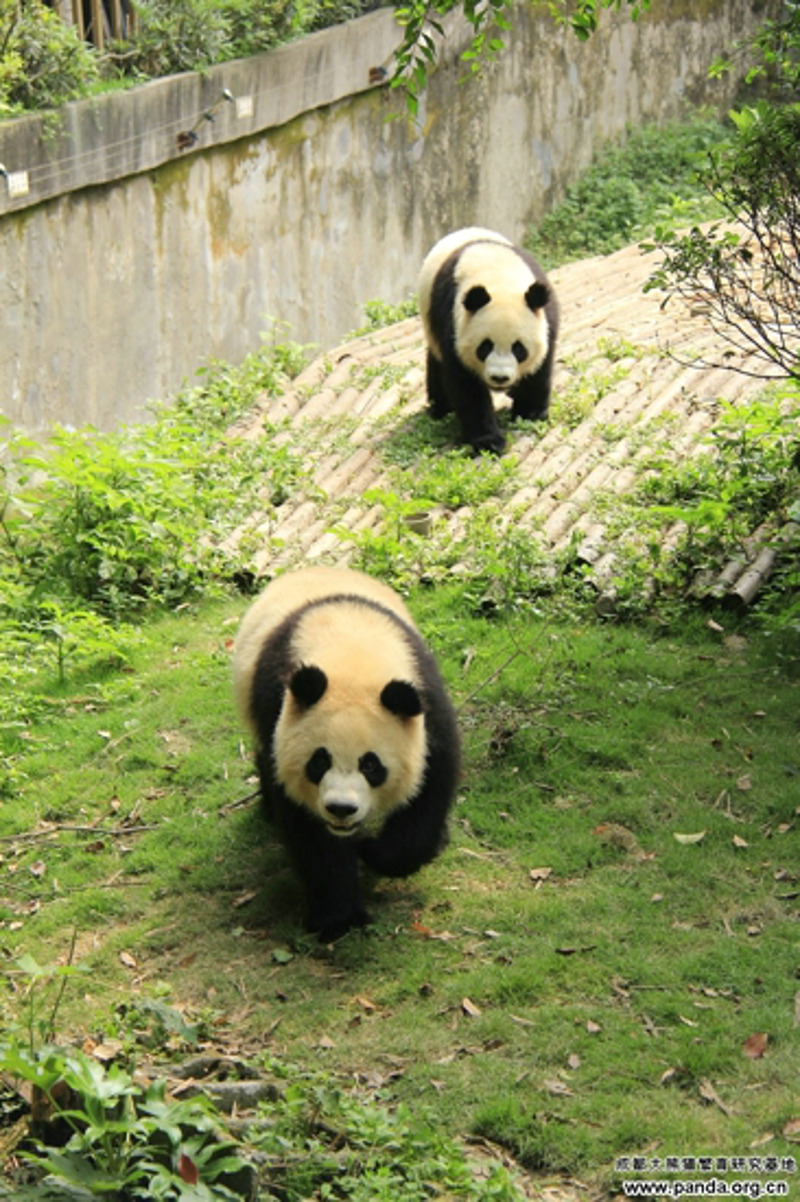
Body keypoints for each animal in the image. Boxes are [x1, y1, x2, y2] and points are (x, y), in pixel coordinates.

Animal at [232, 565, 460, 941]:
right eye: (318, 761)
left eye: (371, 765)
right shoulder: (279, 705)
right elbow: (308, 829)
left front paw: (375, 851)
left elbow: (430, 785)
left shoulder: (426, 704)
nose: (341, 809)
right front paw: (338, 918)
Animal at [418, 226, 559, 455]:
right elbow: (467, 387)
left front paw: (531, 413)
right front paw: (488, 441)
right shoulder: (452, 323)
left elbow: (540, 367)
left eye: (519, 349)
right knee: (436, 364)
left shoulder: (547, 319)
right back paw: (440, 407)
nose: (499, 378)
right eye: (484, 347)